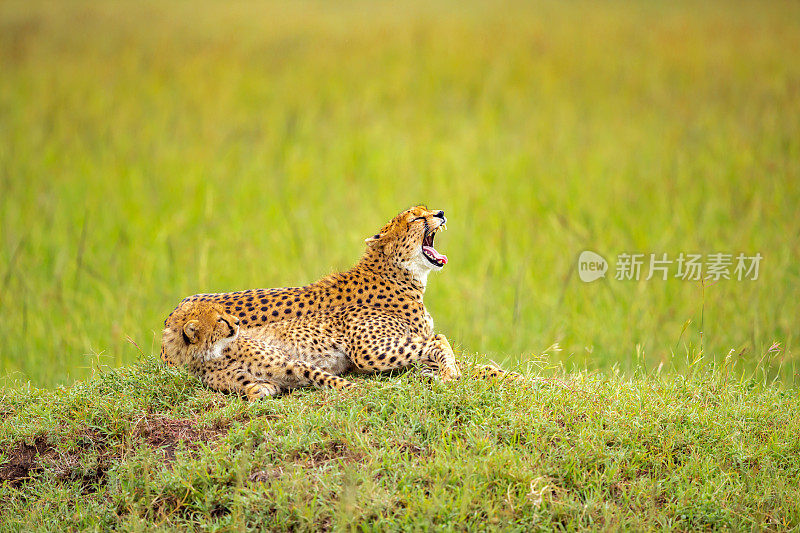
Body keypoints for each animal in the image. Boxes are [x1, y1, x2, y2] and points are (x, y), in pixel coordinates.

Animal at [162, 205, 524, 394]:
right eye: (416, 218)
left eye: (427, 210)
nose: (440, 212)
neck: (398, 272)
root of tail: (171, 319)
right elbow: (452, 353)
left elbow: (472, 363)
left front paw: (514, 376)